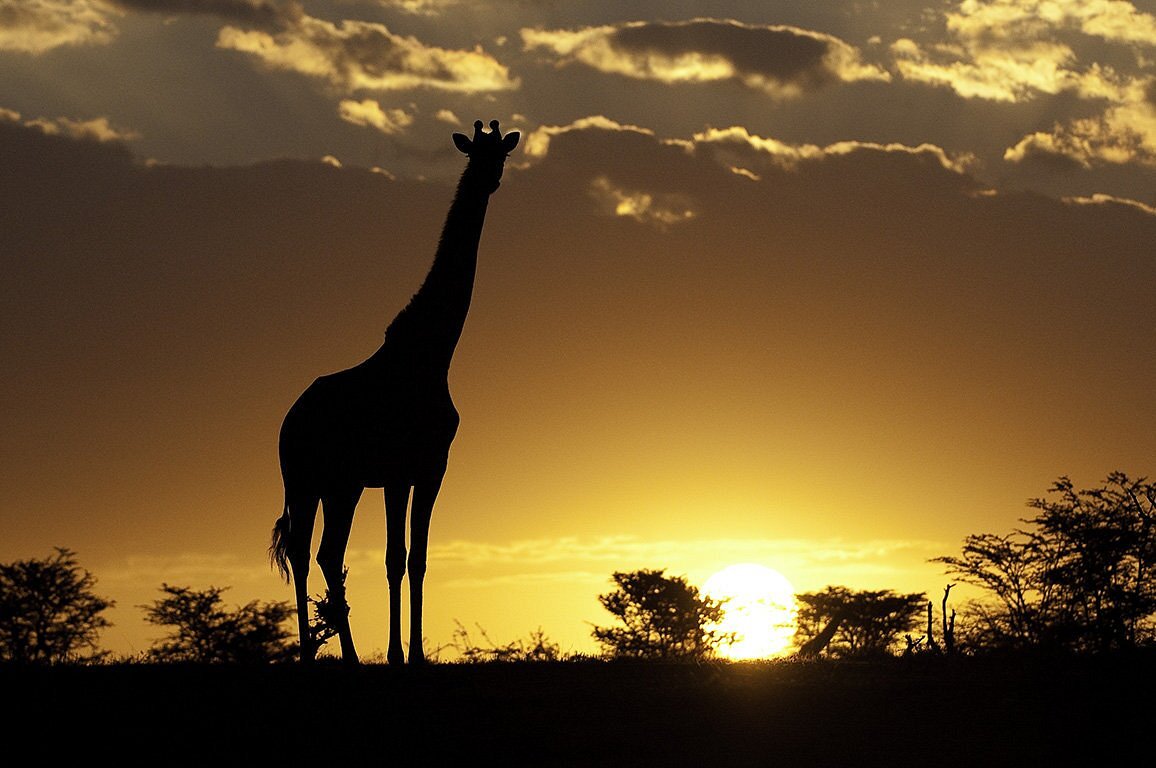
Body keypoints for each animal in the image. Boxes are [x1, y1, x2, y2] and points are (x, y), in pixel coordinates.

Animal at [268, 120, 522, 666]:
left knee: (315, 552)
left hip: (329, 484)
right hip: (315, 480)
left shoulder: (412, 471)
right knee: (311, 552)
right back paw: (331, 654)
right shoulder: (413, 469)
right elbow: (401, 557)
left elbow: (408, 557)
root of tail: (288, 421)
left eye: (502, 155)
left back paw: (324, 653)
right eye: (474, 153)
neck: (432, 355)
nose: (488, 178)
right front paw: (402, 654)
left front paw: (408, 653)